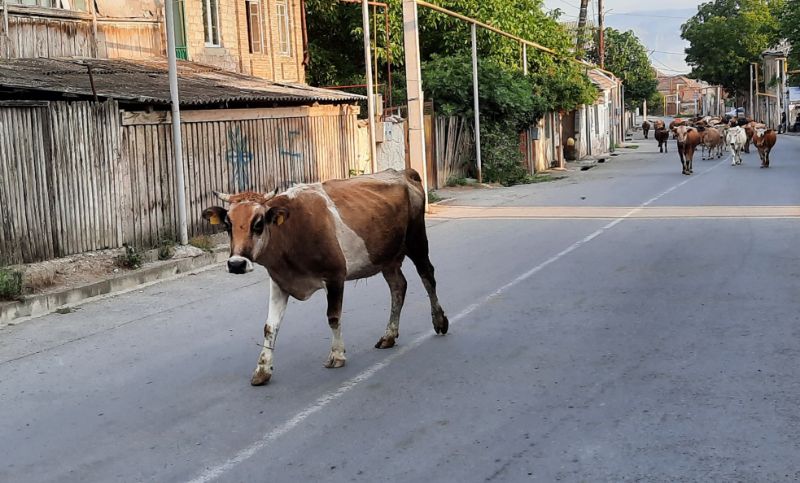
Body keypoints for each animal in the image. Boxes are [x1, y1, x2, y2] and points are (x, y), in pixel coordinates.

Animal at [202, 169, 449, 385]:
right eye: (228, 225)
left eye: (259, 223)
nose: (236, 264)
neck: (291, 232)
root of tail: (402, 172)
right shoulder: (280, 281)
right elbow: (269, 327)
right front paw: (262, 370)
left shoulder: (335, 275)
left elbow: (333, 316)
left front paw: (337, 355)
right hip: (386, 256)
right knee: (399, 286)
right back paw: (389, 335)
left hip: (416, 240)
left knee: (427, 276)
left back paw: (439, 321)